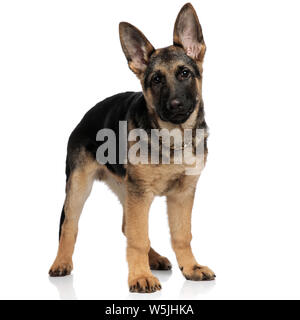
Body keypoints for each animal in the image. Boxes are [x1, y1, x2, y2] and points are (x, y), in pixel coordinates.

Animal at [49, 1, 214, 292]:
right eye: (156, 80)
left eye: (184, 73)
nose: (175, 106)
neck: (172, 139)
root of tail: (84, 117)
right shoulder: (141, 193)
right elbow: (138, 237)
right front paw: (139, 276)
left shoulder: (182, 194)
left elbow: (181, 234)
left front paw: (190, 267)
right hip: (80, 188)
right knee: (70, 225)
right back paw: (62, 262)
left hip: (126, 190)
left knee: (128, 225)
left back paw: (155, 258)